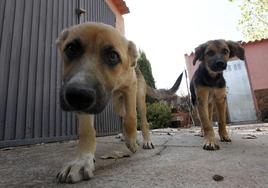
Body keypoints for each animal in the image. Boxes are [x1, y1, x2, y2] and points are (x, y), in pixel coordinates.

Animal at [55, 22, 183, 184]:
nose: (77, 95)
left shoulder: (131, 87)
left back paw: (144, 140)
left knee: (143, 120)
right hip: (117, 104)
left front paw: (133, 142)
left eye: (113, 56)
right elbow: (87, 130)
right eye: (71, 48)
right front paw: (82, 161)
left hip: (139, 98)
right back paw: (125, 136)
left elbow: (131, 118)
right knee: (122, 115)